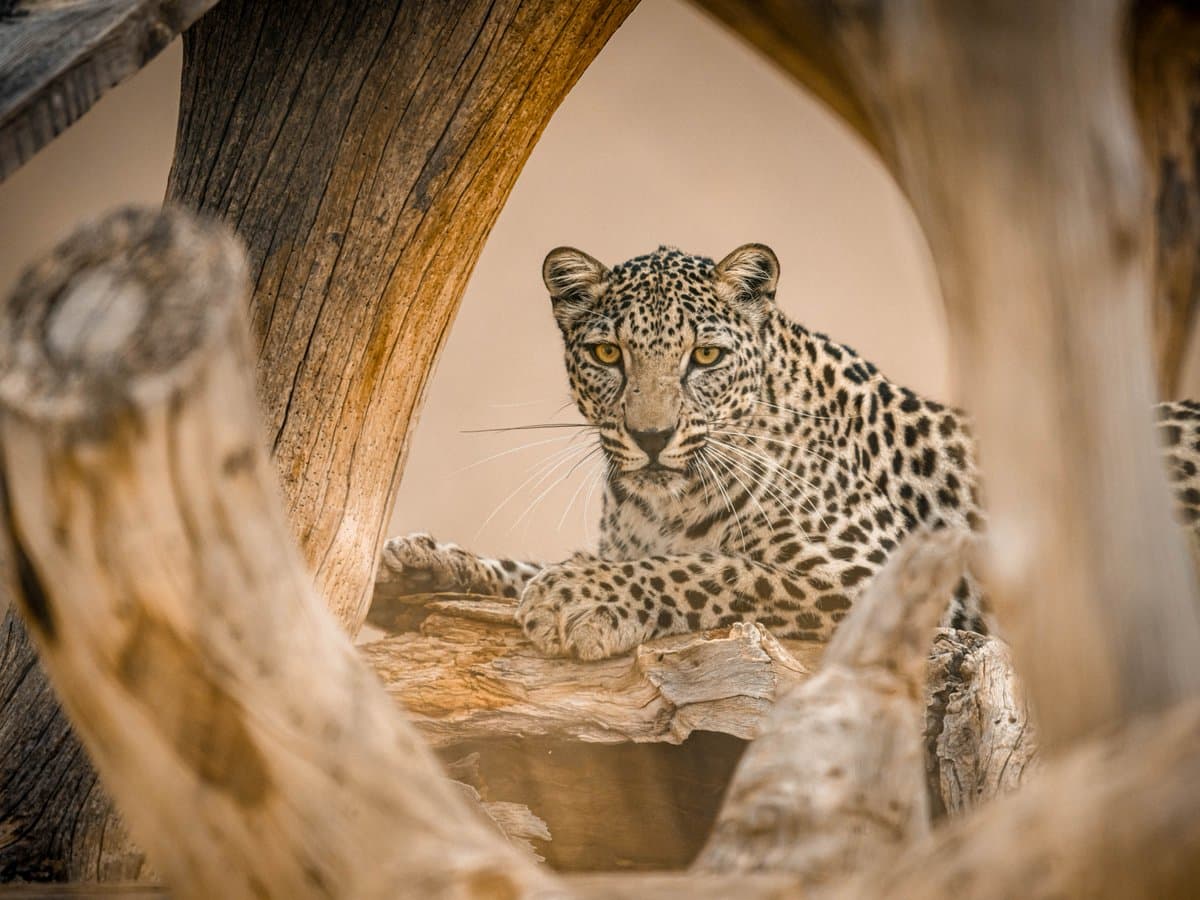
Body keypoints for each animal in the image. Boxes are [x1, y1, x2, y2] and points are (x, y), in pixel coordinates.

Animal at [379, 243, 1200, 660]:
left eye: (706, 356)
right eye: (609, 353)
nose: (651, 437)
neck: (662, 501)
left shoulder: (885, 581)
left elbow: (714, 569)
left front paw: (583, 597)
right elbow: (538, 563)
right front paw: (424, 562)